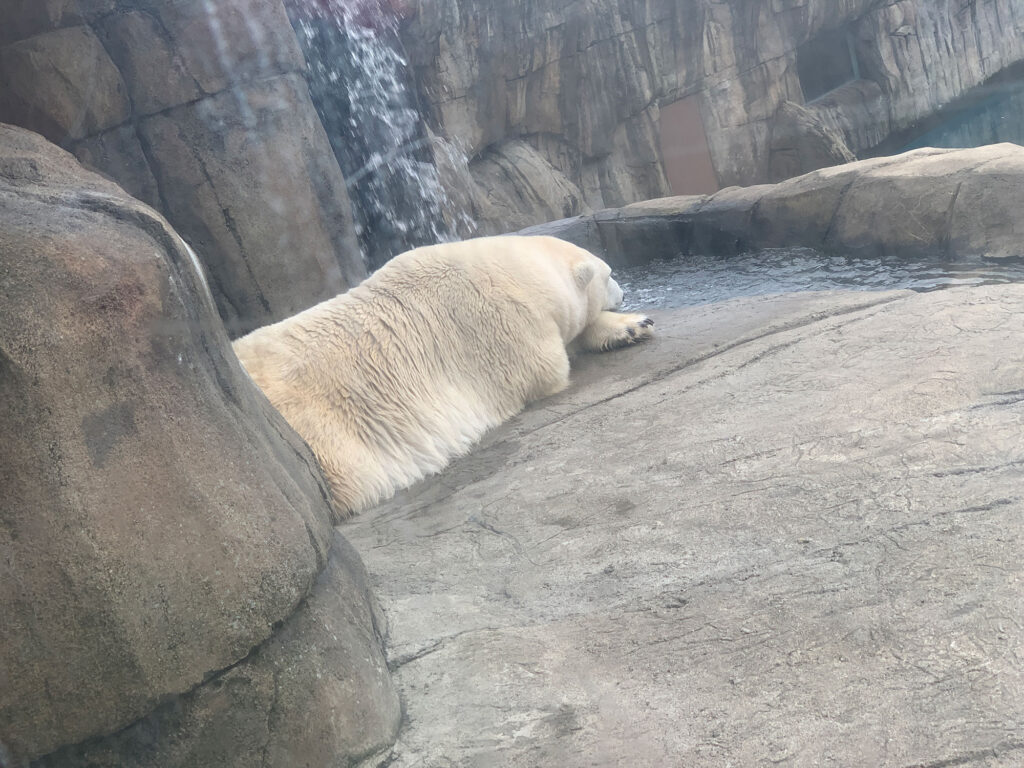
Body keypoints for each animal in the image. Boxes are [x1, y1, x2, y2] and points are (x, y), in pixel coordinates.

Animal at [233, 237, 651, 520]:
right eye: (609, 274)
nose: (624, 291)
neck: (513, 270)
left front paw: (634, 326)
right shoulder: (505, 327)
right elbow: (550, 366)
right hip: (325, 443)